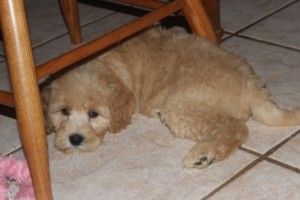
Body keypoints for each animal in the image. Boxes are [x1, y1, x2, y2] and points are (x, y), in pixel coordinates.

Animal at [42, 27, 300, 169]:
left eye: (93, 114)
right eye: (64, 111)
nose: (75, 139)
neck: (110, 67)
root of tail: (252, 84)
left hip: (182, 107)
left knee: (236, 128)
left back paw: (203, 155)